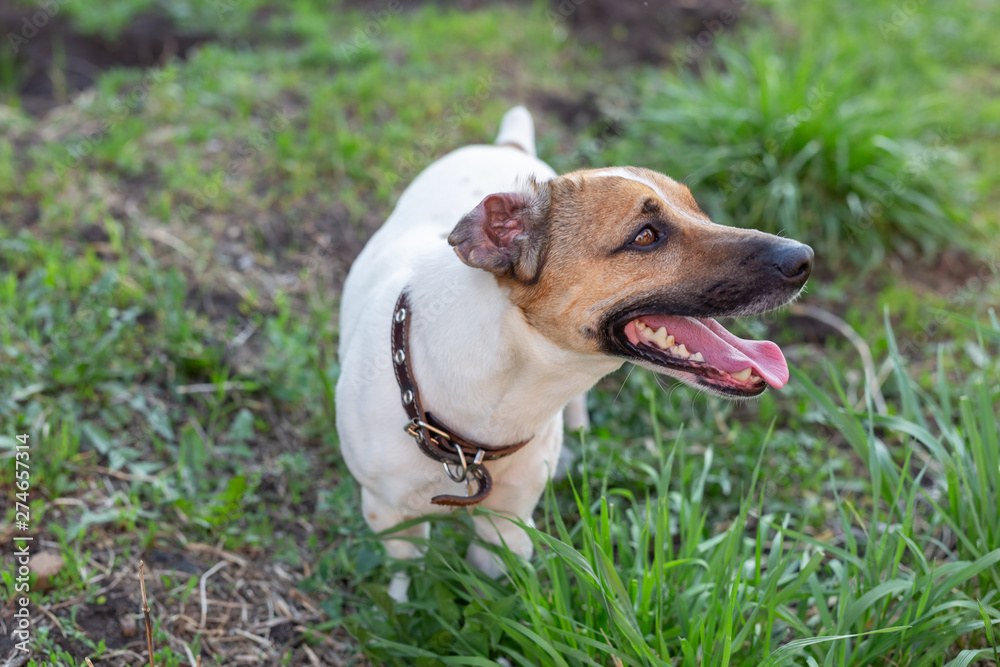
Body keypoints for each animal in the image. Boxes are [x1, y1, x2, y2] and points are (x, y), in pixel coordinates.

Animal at [336, 105, 812, 604]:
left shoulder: (509, 524)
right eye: (646, 236)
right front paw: (398, 612)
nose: (803, 259)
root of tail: (507, 144)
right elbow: (403, 577)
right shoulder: (389, 516)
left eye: (698, 209)